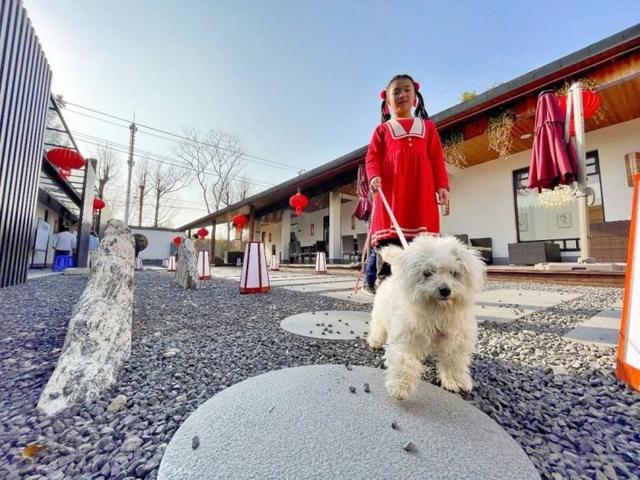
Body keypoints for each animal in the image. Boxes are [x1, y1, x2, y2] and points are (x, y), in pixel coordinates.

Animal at [368, 234, 482, 400]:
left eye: (454, 273)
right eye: (428, 273)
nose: (445, 290)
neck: (437, 311)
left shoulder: (456, 340)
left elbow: (454, 361)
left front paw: (456, 381)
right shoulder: (406, 336)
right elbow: (404, 361)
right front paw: (400, 387)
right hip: (380, 314)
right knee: (378, 327)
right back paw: (375, 341)